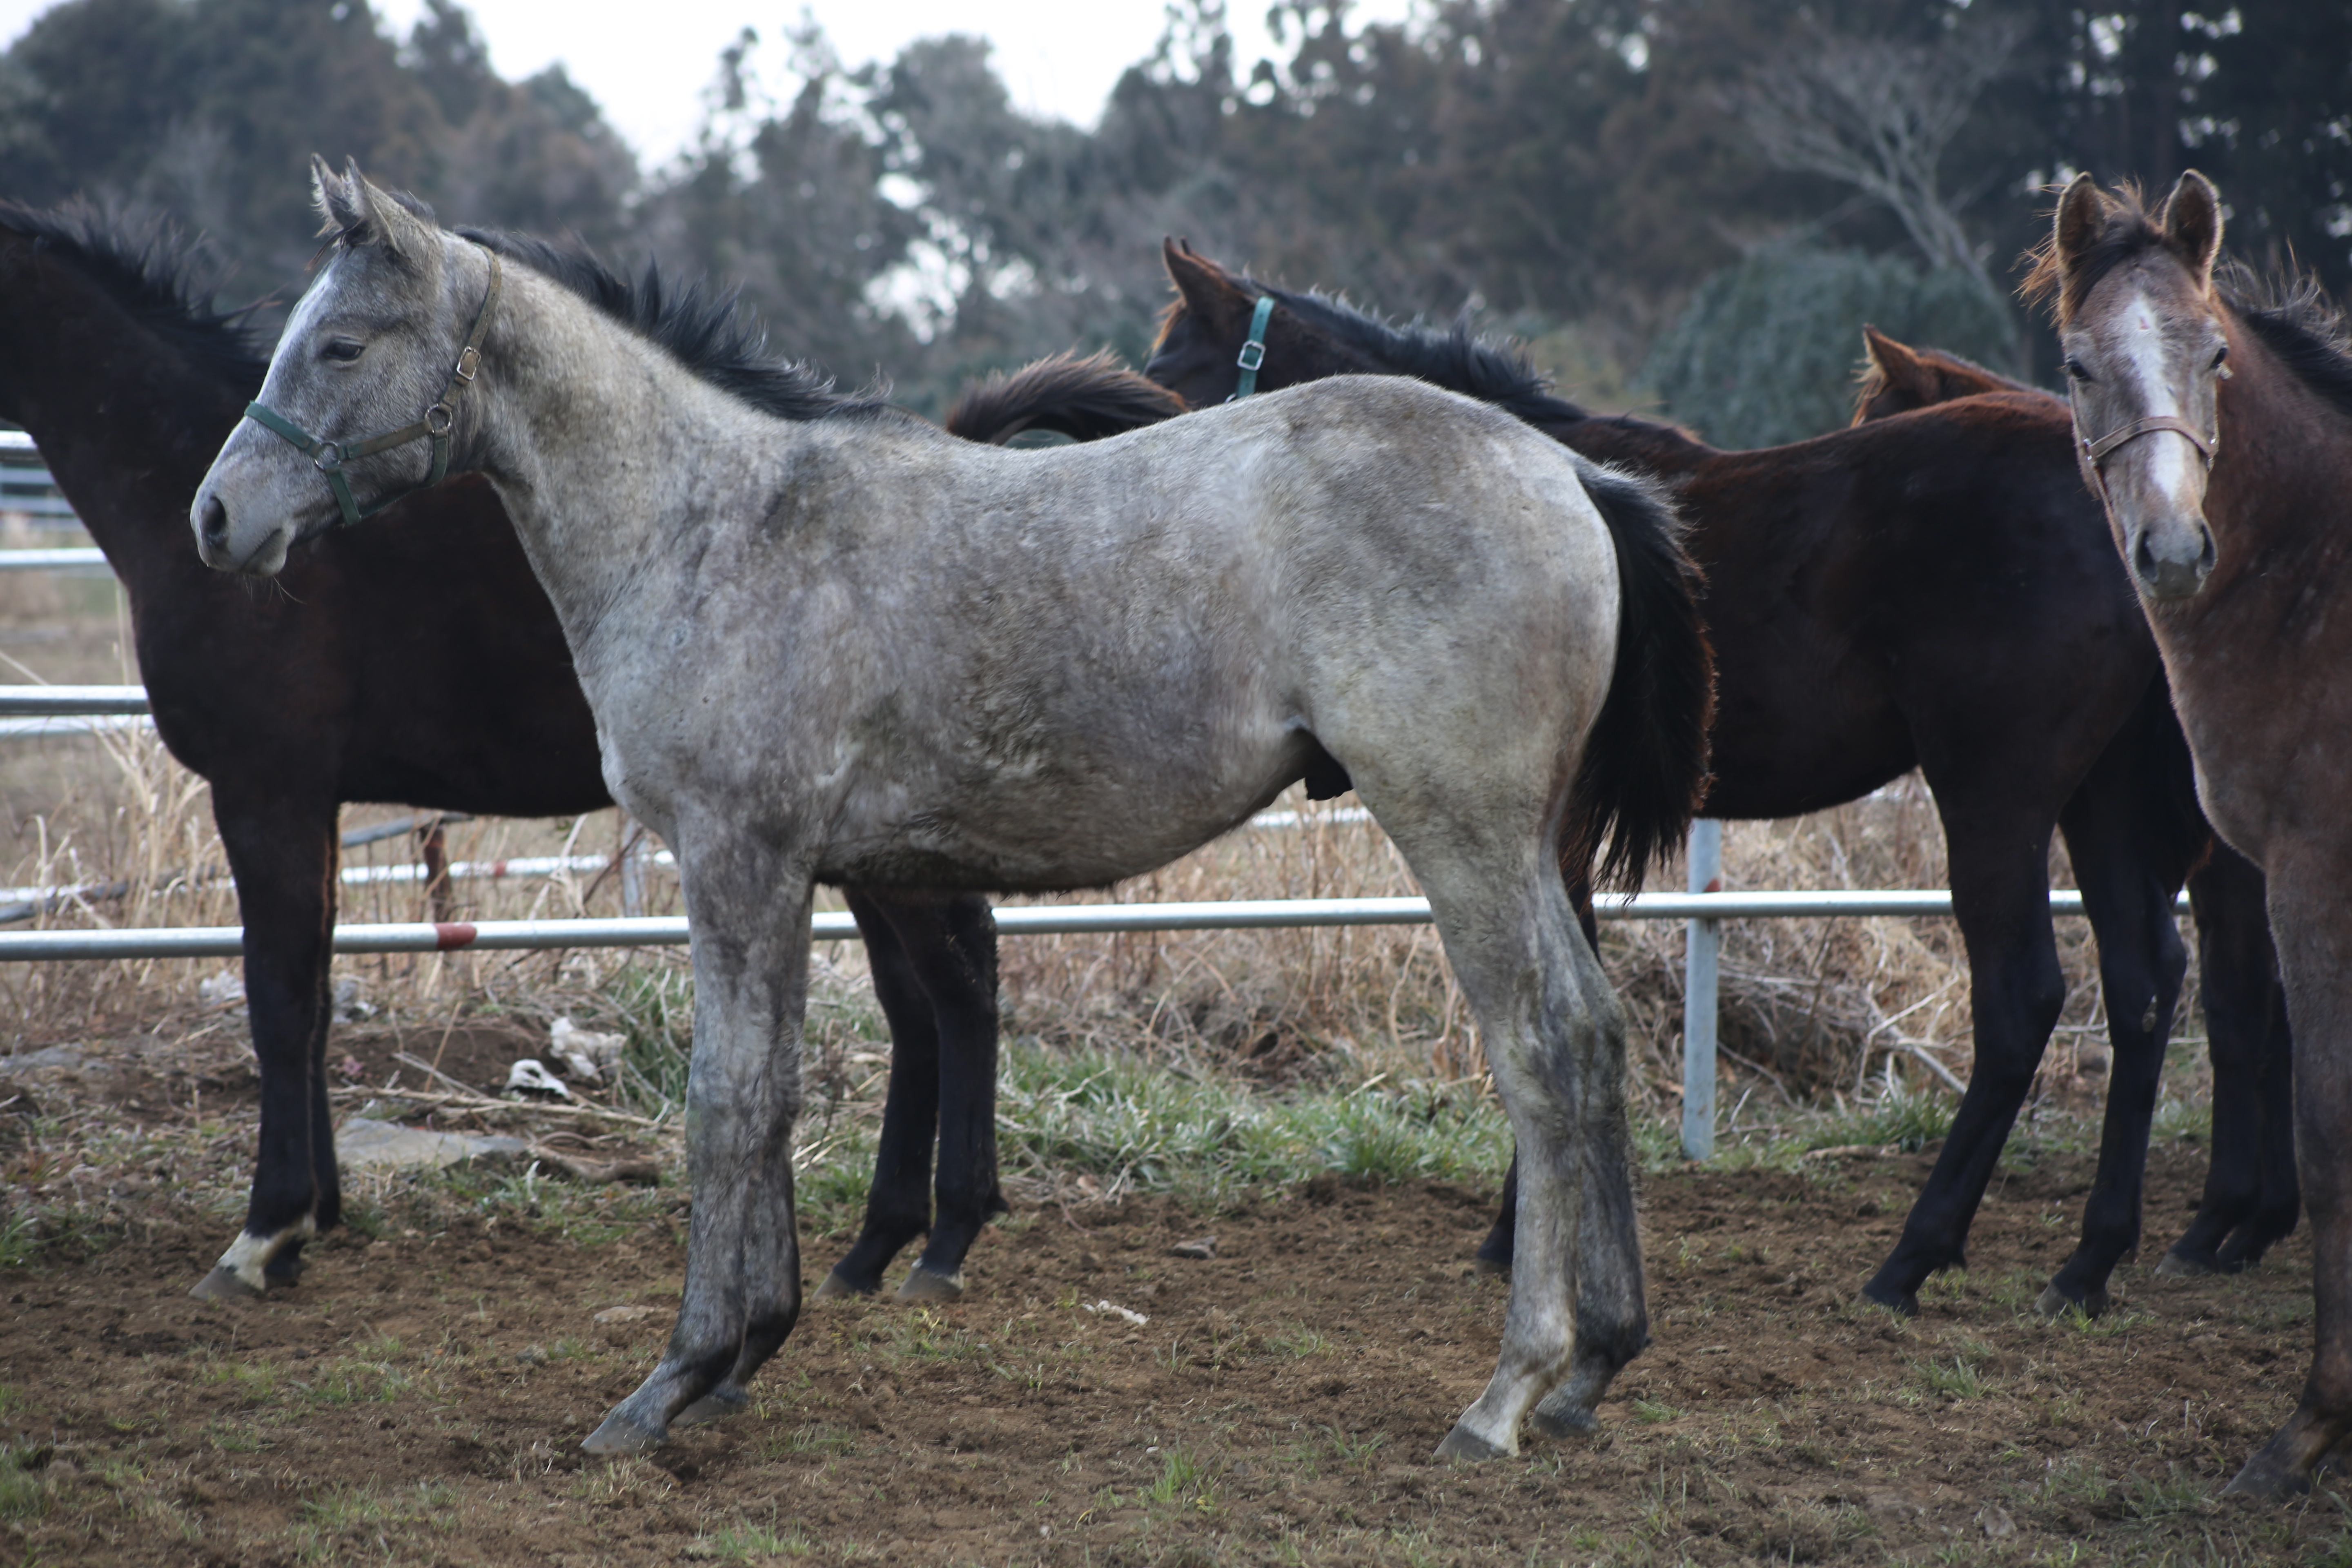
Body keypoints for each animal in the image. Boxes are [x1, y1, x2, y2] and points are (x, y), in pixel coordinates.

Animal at [0, 202, 1185, 1316]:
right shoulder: (312, 807)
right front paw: (315, 1220)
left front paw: (265, 1233)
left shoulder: (266, 795)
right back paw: (877, 1245)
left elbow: (279, 1000)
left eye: (339, 347)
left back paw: (941, 1238)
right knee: (920, 998)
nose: (220, 519)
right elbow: (318, 993)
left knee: (958, 983)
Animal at [188, 160, 1712, 1457]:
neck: (713, 525)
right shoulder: (797, 872)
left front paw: (673, 1380)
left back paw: (1508, 1392)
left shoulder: (739, 859)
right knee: (1595, 1034)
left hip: (1463, 835)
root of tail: (1569, 470)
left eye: (340, 347)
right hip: (1527, 845)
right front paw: (749, 1350)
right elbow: (778, 1088)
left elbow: (730, 1098)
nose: (216, 519)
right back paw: (1595, 1366)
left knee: (1541, 1047)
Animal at [1143, 245, 2295, 1326]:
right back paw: (2093, 1259)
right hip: (2098, 802)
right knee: (2147, 984)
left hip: (1995, 797)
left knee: (2027, 1001)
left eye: (1161, 383)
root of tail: (2146, 519)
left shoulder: (1546, 823)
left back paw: (1918, 1256)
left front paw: (1524, 1231)